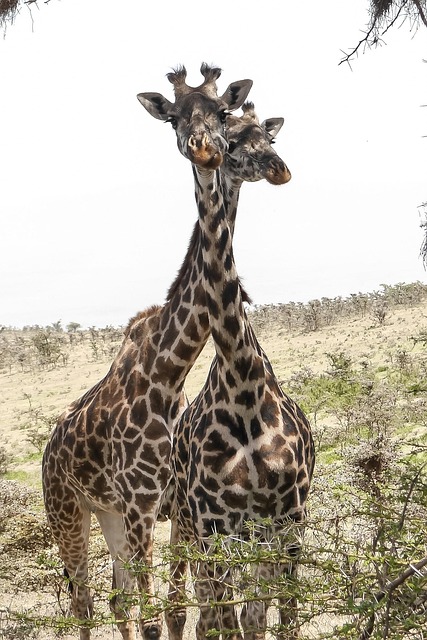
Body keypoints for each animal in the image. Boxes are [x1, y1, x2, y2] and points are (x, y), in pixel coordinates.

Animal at [42, 63, 252, 640]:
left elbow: (178, 609)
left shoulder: (176, 509)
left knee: (114, 600)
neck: (169, 373)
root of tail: (46, 451)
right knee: (83, 602)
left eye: (221, 110)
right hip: (67, 512)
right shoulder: (141, 506)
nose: (205, 148)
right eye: (173, 117)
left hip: (108, 514)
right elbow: (158, 614)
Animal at [166, 105, 315, 640]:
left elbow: (279, 617)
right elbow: (228, 620)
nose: (278, 168)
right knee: (194, 608)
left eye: (267, 137)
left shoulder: (289, 519)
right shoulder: (215, 526)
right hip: (186, 524)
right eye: (231, 140)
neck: (244, 380)